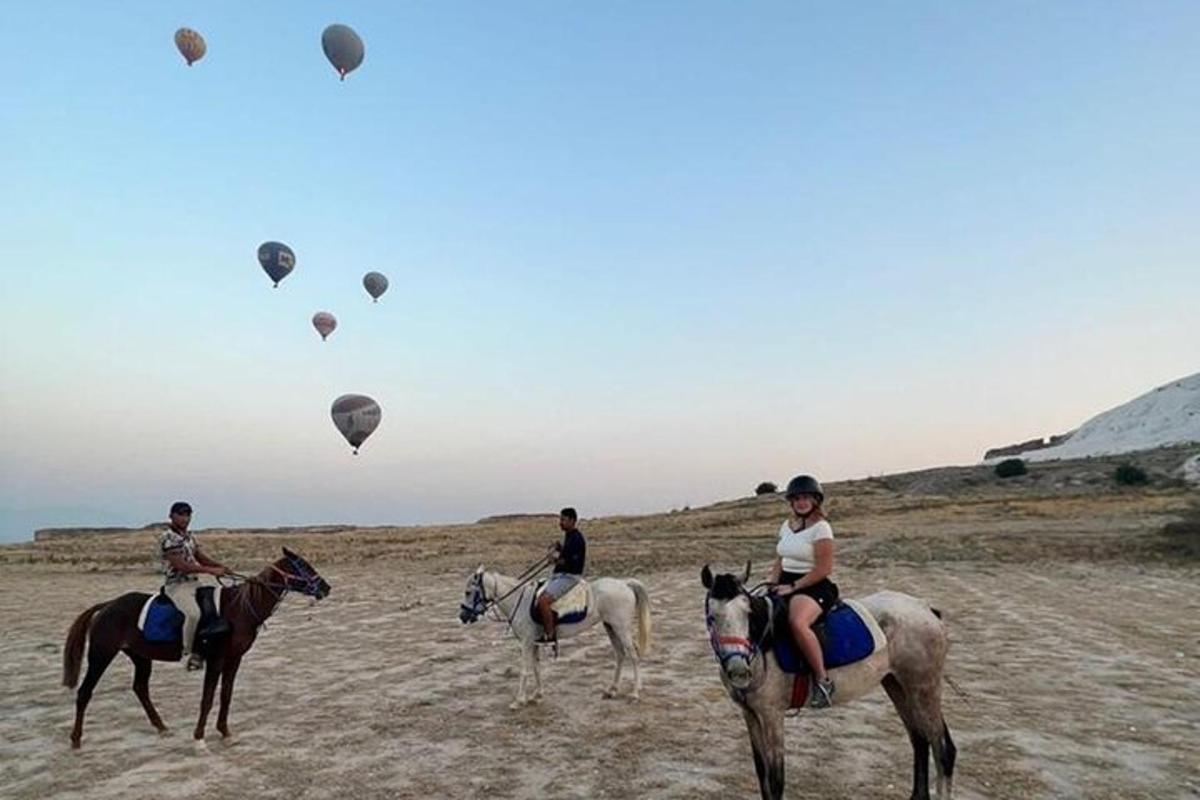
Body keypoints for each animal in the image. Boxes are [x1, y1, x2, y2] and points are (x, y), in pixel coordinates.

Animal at [61, 546, 328, 748]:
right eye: (303, 566)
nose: (326, 587)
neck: (237, 609)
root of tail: (107, 605)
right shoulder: (216, 659)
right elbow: (207, 698)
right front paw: (199, 738)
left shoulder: (234, 659)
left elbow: (226, 694)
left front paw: (225, 732)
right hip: (101, 654)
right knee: (85, 692)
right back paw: (76, 740)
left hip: (140, 656)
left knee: (140, 688)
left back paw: (162, 727)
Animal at [458, 566, 652, 710]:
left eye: (468, 592)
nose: (463, 617)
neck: (518, 600)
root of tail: (625, 584)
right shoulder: (534, 642)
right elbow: (536, 668)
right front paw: (537, 695)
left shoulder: (526, 643)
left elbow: (524, 670)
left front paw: (519, 700)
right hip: (610, 627)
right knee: (620, 655)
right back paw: (612, 690)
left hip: (621, 628)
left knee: (633, 656)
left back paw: (635, 693)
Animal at [700, 563, 955, 800]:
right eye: (712, 617)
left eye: (749, 614)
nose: (738, 671)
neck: (763, 646)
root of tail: (925, 608)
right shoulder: (750, 714)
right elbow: (761, 771)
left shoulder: (772, 715)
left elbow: (775, 779)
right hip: (897, 685)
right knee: (920, 740)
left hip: (923, 688)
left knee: (943, 749)